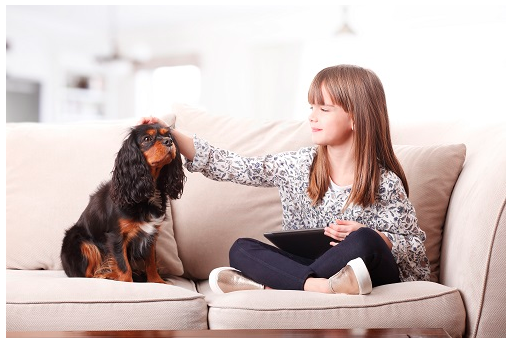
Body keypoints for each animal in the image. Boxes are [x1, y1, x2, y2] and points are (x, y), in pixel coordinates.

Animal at [61, 122, 186, 282]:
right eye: (147, 138)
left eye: (168, 135)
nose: (168, 141)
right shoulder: (116, 236)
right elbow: (123, 264)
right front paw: (127, 282)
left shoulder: (151, 235)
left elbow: (151, 261)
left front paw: (156, 281)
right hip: (80, 241)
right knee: (86, 274)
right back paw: (106, 275)